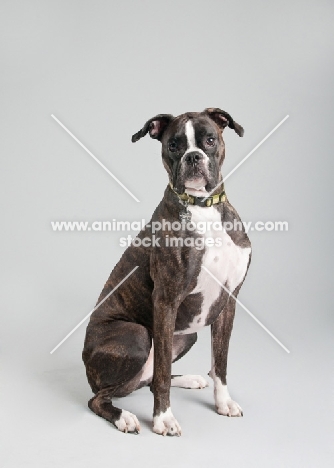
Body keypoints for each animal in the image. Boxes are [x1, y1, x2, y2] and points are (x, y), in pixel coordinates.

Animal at [83, 108, 250, 436]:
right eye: (173, 145)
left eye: (209, 140)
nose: (193, 156)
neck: (203, 208)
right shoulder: (166, 301)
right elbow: (161, 374)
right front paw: (163, 419)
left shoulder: (228, 301)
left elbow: (220, 363)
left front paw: (223, 402)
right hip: (137, 334)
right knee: (101, 397)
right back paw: (124, 417)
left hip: (187, 335)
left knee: (148, 378)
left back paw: (188, 379)